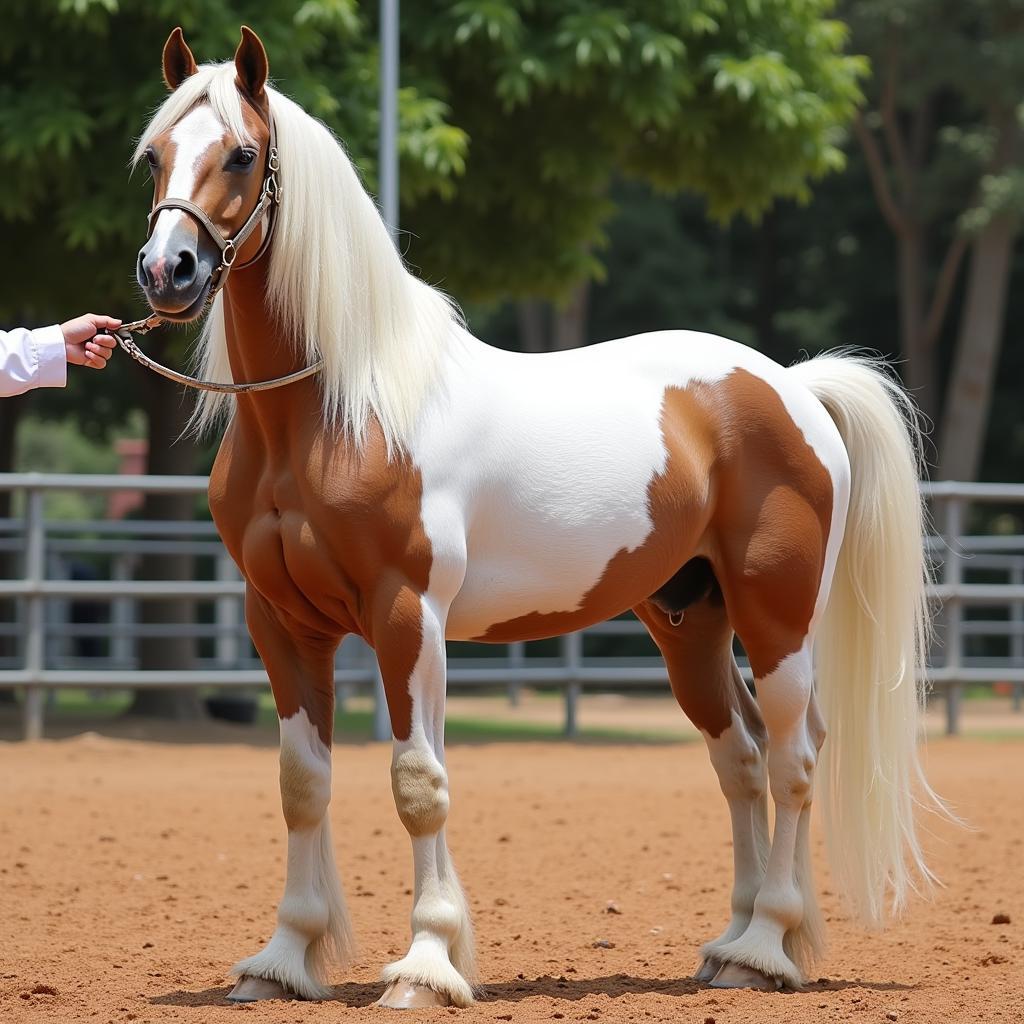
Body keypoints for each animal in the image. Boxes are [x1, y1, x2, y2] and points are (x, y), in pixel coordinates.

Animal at [132, 24, 946, 1007]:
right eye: (155, 156)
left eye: (243, 155)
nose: (167, 270)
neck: (340, 408)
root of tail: (792, 386)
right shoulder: (281, 621)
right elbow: (302, 783)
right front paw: (285, 959)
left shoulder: (408, 617)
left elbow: (418, 783)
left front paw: (426, 965)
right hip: (690, 622)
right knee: (742, 758)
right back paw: (731, 948)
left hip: (776, 616)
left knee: (795, 756)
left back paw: (768, 946)